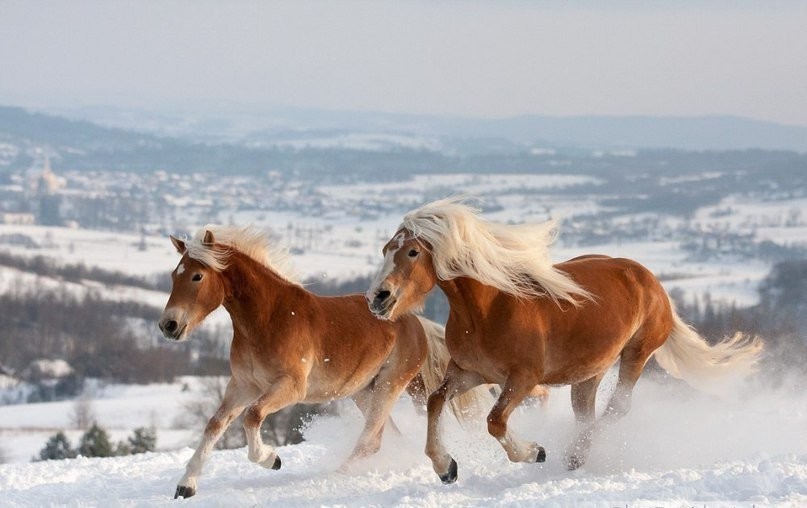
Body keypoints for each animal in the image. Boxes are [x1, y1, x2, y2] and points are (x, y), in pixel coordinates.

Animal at [159, 225, 486, 496]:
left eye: (197, 276)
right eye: (174, 275)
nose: (168, 326)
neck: (267, 319)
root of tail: (417, 323)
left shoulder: (291, 387)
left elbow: (252, 416)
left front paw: (272, 459)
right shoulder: (242, 386)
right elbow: (215, 424)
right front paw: (186, 486)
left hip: (389, 385)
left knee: (369, 440)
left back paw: (337, 476)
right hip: (363, 391)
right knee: (383, 436)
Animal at [366, 197, 764, 484]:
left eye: (412, 251)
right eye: (385, 249)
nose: (378, 298)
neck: (487, 309)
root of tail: (650, 280)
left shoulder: (523, 379)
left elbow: (495, 421)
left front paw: (534, 452)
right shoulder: (469, 373)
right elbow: (436, 401)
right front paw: (446, 467)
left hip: (637, 354)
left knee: (617, 408)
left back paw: (574, 455)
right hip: (588, 374)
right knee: (586, 413)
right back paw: (575, 458)